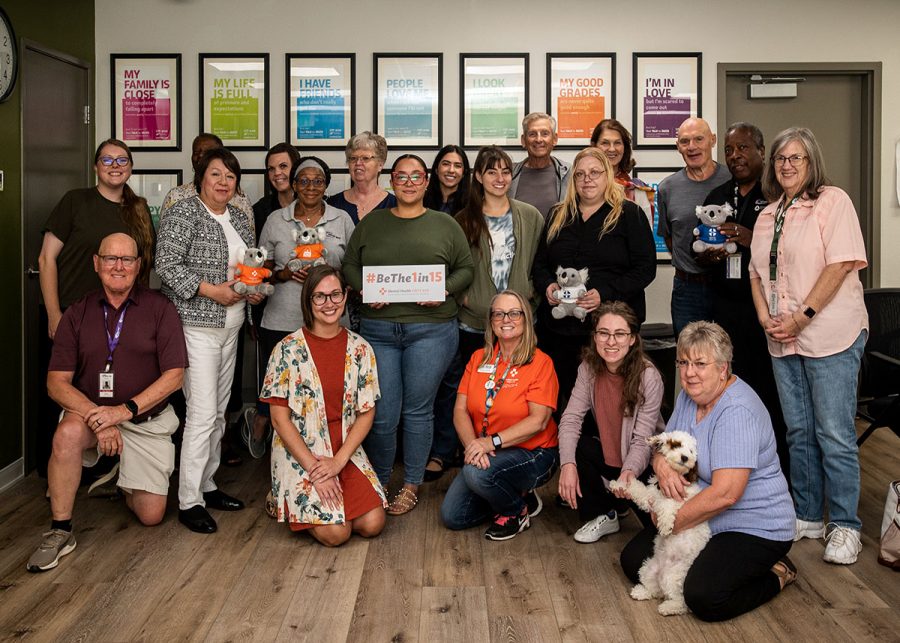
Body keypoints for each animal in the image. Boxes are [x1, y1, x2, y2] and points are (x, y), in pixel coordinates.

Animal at [612, 430, 712, 616]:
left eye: (692, 451)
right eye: (676, 444)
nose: (685, 457)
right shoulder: (649, 497)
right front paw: (619, 485)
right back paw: (641, 591)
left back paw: (668, 607)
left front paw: (665, 526)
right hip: (647, 569)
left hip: (673, 578)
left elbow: (667, 505)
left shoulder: (681, 502)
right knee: (654, 591)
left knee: (681, 603)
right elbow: (637, 488)